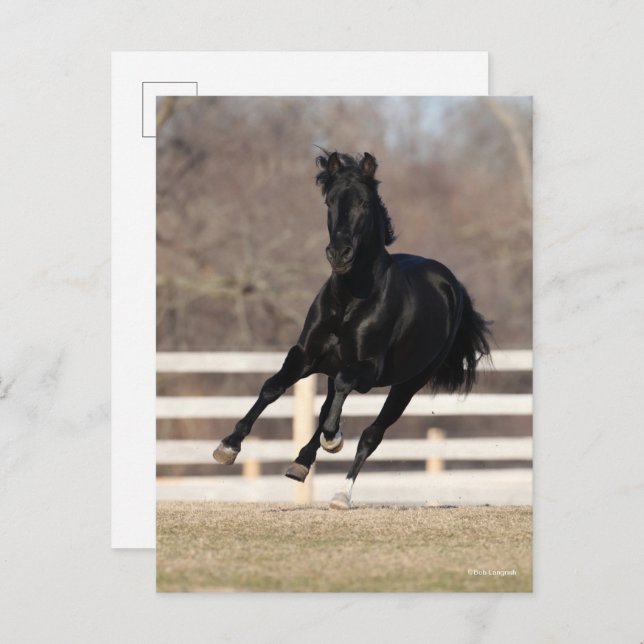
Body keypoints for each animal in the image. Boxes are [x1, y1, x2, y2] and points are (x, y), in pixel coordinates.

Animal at [213, 151, 491, 510]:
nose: (339, 254)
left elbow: (343, 397)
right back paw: (300, 463)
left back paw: (341, 493)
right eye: (329, 201)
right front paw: (228, 445)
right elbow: (273, 387)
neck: (349, 301)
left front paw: (334, 439)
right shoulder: (307, 356)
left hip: (409, 383)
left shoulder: (370, 369)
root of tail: (452, 285)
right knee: (324, 409)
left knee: (372, 433)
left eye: (364, 202)